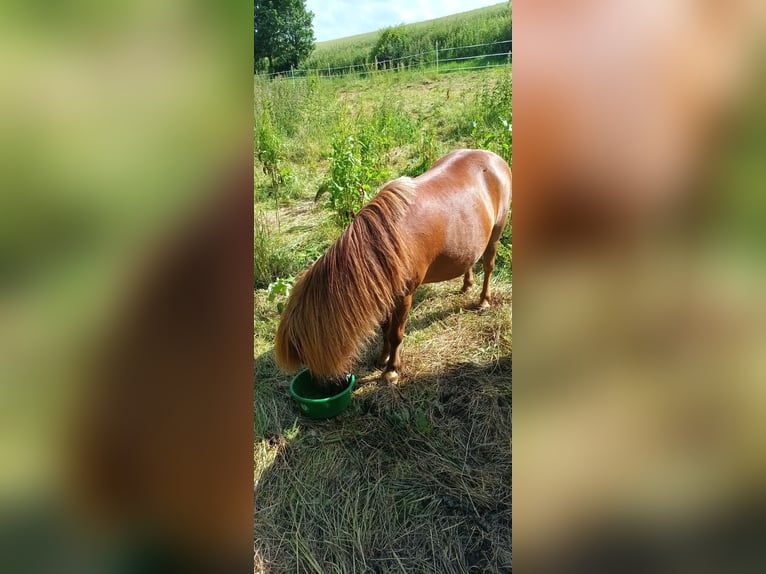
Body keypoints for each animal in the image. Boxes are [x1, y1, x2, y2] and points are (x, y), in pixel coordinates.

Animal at [272, 148, 512, 384]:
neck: (383, 244)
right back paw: (466, 285)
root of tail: (493, 157)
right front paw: (382, 358)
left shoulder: (403, 297)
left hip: (496, 233)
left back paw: (483, 301)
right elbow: (385, 328)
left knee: (488, 266)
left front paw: (391, 371)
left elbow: (396, 334)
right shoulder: (384, 292)